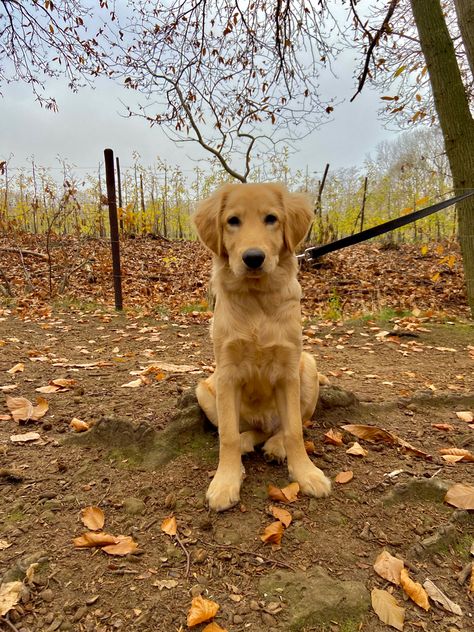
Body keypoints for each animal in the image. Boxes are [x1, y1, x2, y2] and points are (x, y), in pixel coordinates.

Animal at [193, 180, 330, 512]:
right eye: (233, 221)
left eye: (271, 219)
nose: (253, 258)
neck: (256, 301)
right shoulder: (227, 372)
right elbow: (227, 435)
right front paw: (225, 482)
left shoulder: (288, 371)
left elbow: (294, 430)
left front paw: (306, 473)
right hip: (205, 390)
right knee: (244, 430)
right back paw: (248, 442)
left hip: (308, 367)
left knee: (289, 425)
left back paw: (276, 445)